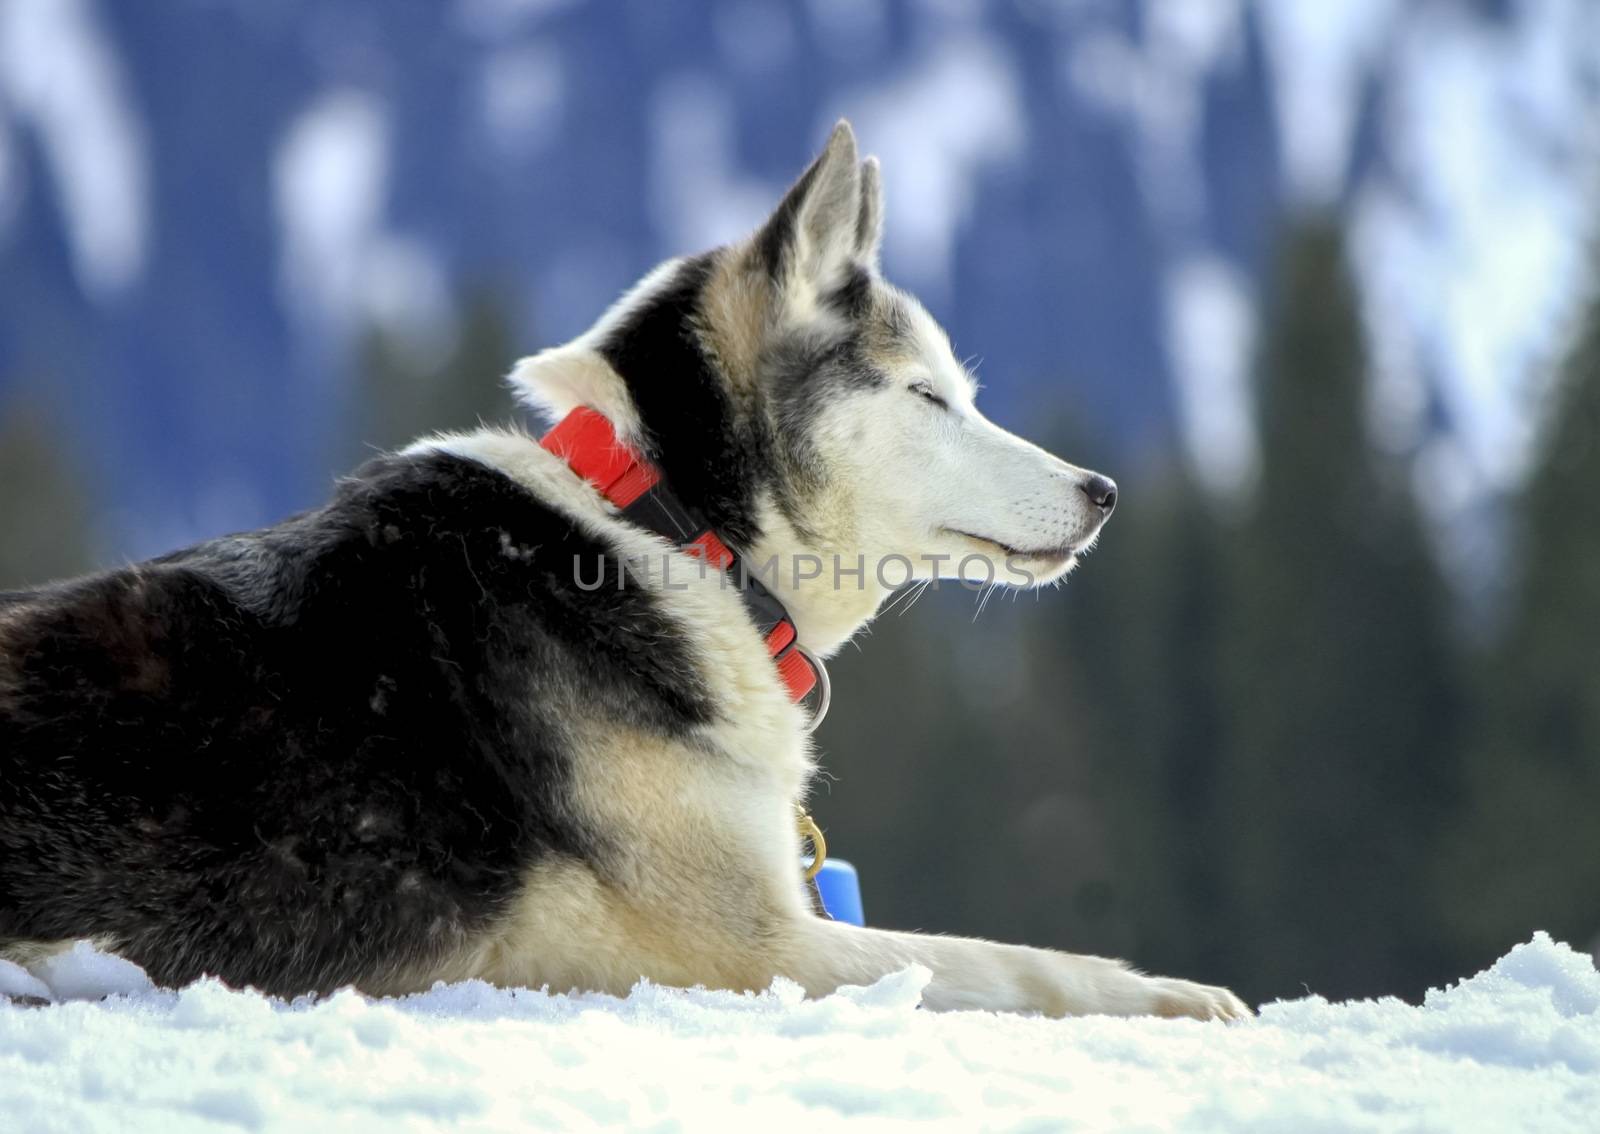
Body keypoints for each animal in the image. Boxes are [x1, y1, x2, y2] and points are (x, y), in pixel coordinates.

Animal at [0, 123, 1248, 1017]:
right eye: (926, 397)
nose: (1104, 492)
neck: (666, 530)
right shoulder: (755, 944)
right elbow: (1016, 964)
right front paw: (1174, 996)